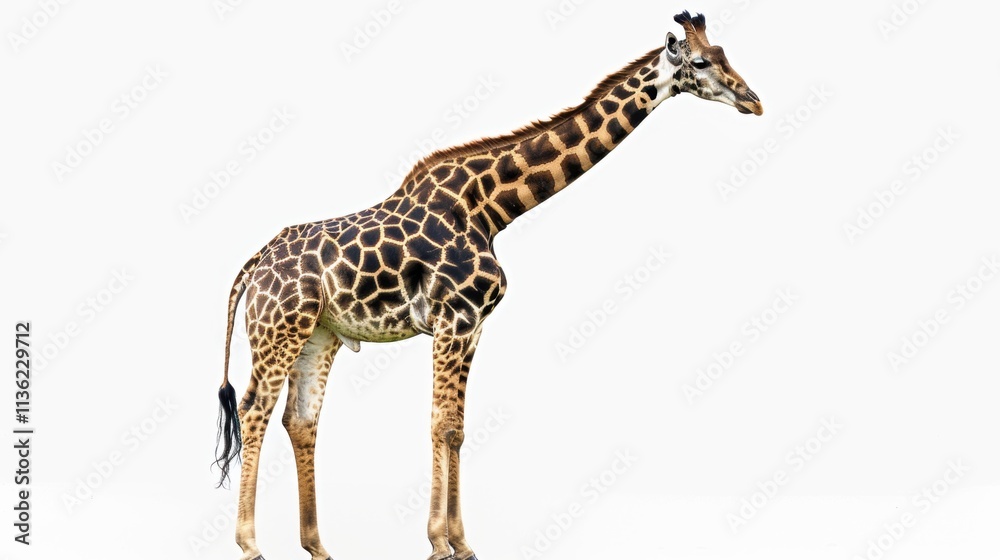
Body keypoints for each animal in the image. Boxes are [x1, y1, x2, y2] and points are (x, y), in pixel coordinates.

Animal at [214, 11, 761, 560]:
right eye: (699, 62)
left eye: (724, 54)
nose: (753, 100)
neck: (490, 209)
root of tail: (254, 264)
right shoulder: (452, 319)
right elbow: (441, 422)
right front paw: (439, 543)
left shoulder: (474, 326)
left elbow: (457, 428)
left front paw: (462, 543)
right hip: (278, 330)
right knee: (254, 408)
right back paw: (249, 544)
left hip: (318, 334)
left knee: (300, 419)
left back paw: (317, 545)